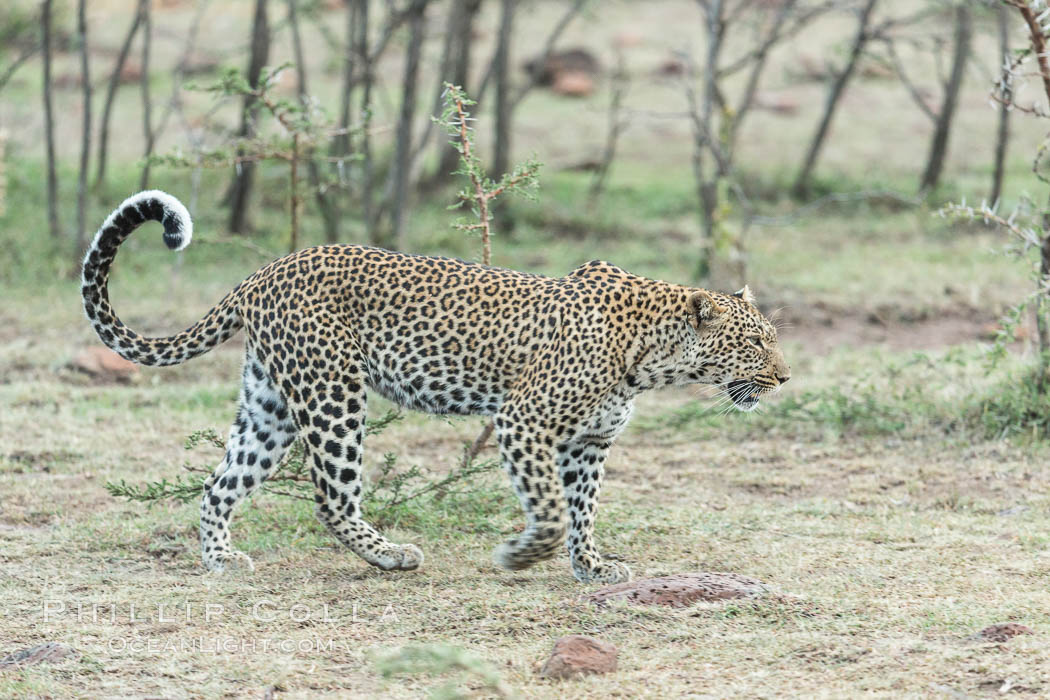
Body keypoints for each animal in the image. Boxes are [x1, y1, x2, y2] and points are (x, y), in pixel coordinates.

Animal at [79, 188, 789, 583]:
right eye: (755, 343)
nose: (784, 376)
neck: (655, 356)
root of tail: (263, 272)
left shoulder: (589, 443)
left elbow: (583, 509)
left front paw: (591, 567)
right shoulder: (524, 420)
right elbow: (552, 510)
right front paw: (520, 557)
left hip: (271, 404)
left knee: (219, 483)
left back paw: (221, 561)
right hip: (334, 394)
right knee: (330, 498)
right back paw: (391, 556)